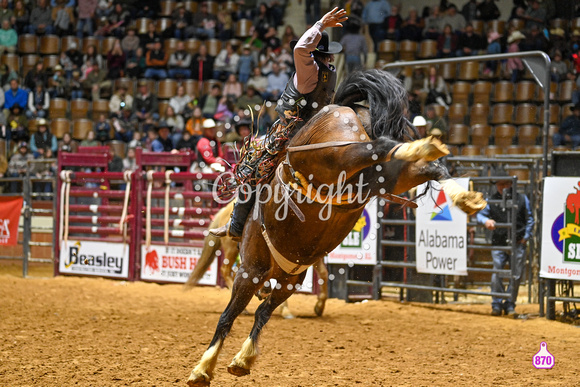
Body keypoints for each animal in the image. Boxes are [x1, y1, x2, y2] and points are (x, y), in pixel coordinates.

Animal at [187, 200, 330, 318]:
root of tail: (224, 210)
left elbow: (324, 274)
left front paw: (319, 307)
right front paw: (284, 308)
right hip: (232, 249)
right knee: (226, 270)